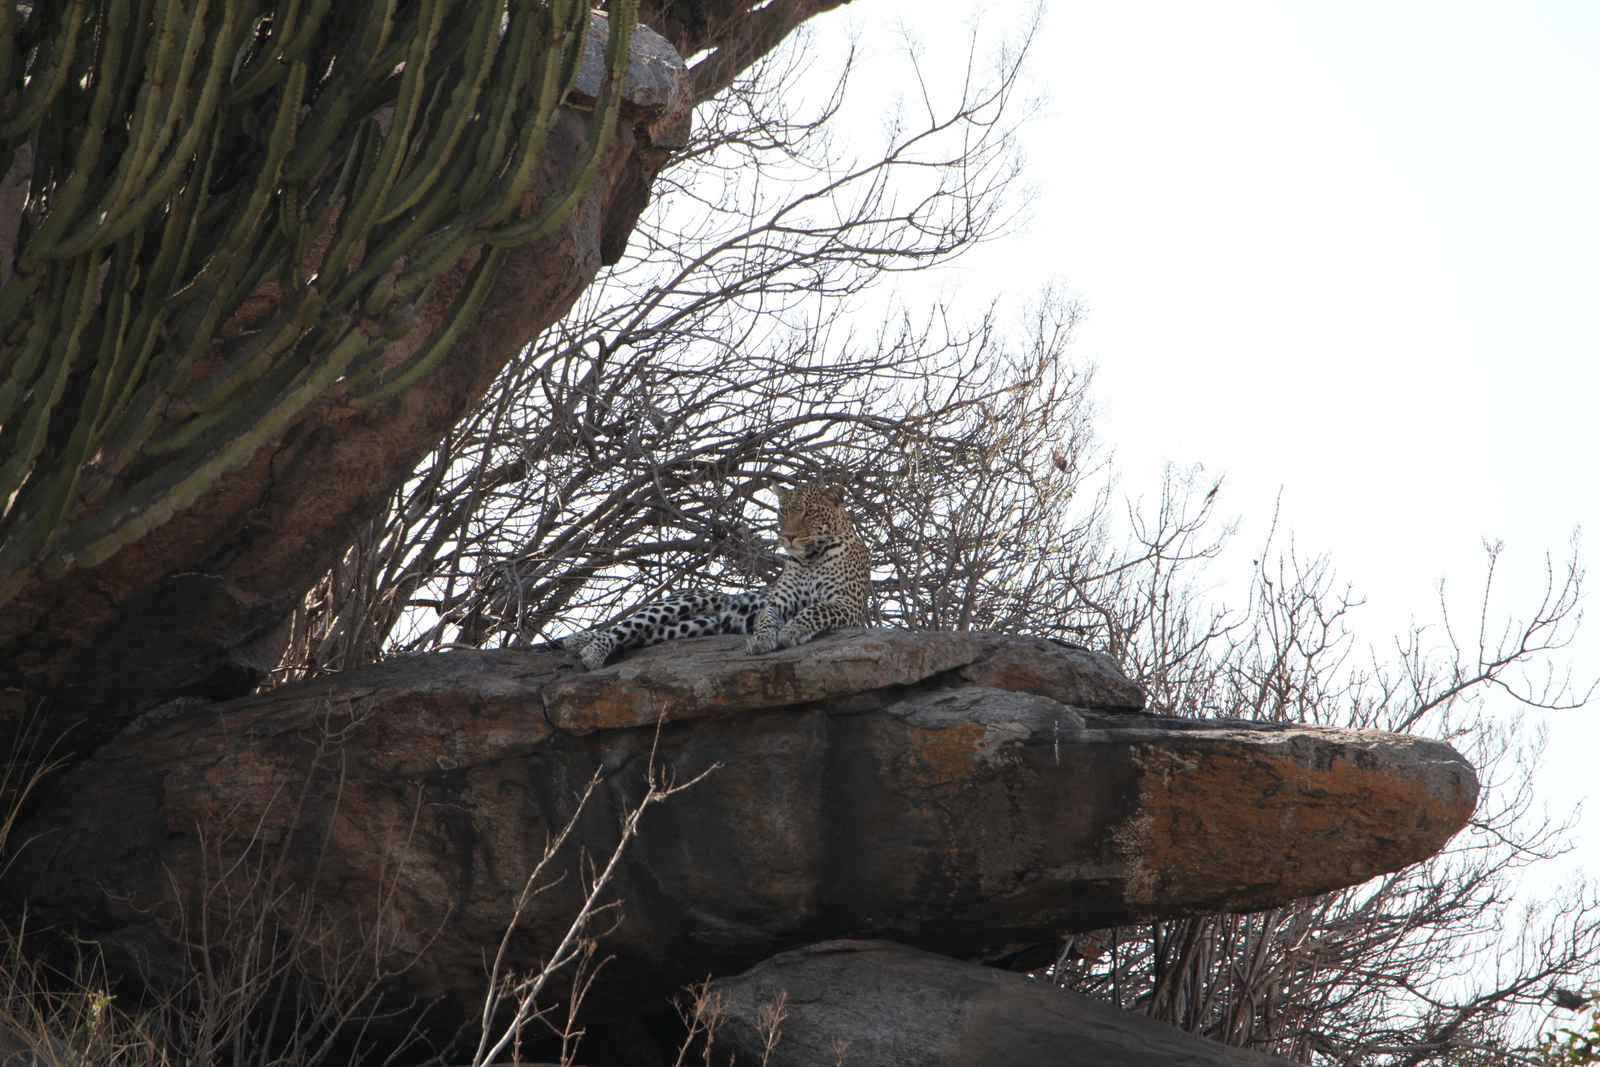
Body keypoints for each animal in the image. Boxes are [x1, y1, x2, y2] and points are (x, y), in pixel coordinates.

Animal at [556, 483, 870, 668]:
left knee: (636, 634)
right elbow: (766, 618)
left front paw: (791, 630)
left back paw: (581, 645)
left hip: (689, 627)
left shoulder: (848, 604)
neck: (810, 558)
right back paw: (587, 648)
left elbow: (814, 610)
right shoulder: (777, 602)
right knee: (625, 626)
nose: (788, 536)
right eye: (783, 511)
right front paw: (761, 639)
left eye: (809, 513)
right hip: (679, 602)